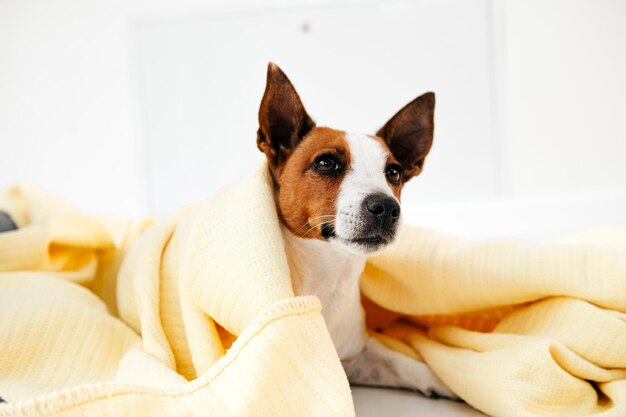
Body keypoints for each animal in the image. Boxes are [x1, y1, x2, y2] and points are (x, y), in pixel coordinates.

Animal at [254, 63, 454, 398]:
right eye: (326, 162)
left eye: (393, 172)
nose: (387, 207)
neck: (329, 276)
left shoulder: (358, 357)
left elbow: (400, 362)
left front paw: (448, 382)